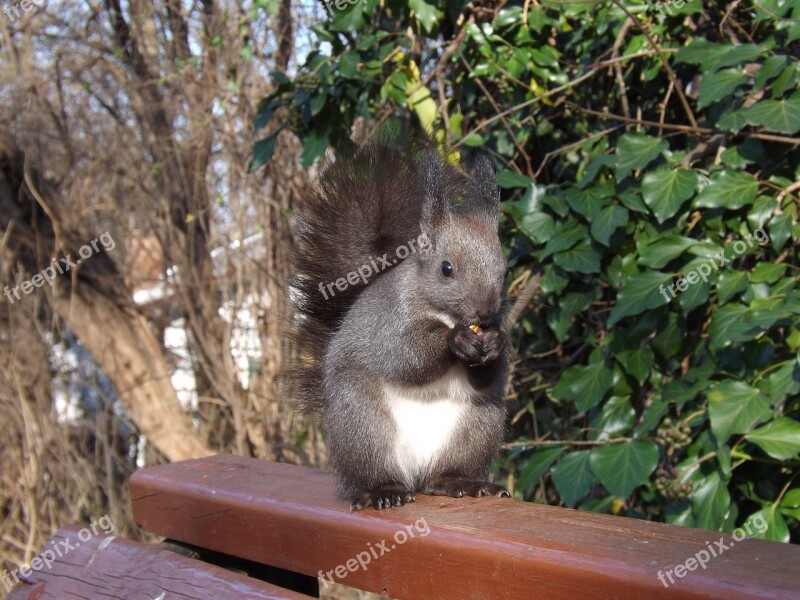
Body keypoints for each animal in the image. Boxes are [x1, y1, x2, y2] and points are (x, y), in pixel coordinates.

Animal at [290, 141, 510, 510]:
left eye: (505, 270)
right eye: (446, 268)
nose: (485, 312)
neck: (445, 314)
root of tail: (416, 474)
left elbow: (487, 376)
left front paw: (496, 343)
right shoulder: (391, 322)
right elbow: (404, 357)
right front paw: (454, 340)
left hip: (479, 425)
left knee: (442, 476)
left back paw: (461, 482)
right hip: (361, 422)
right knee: (373, 471)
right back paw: (383, 490)